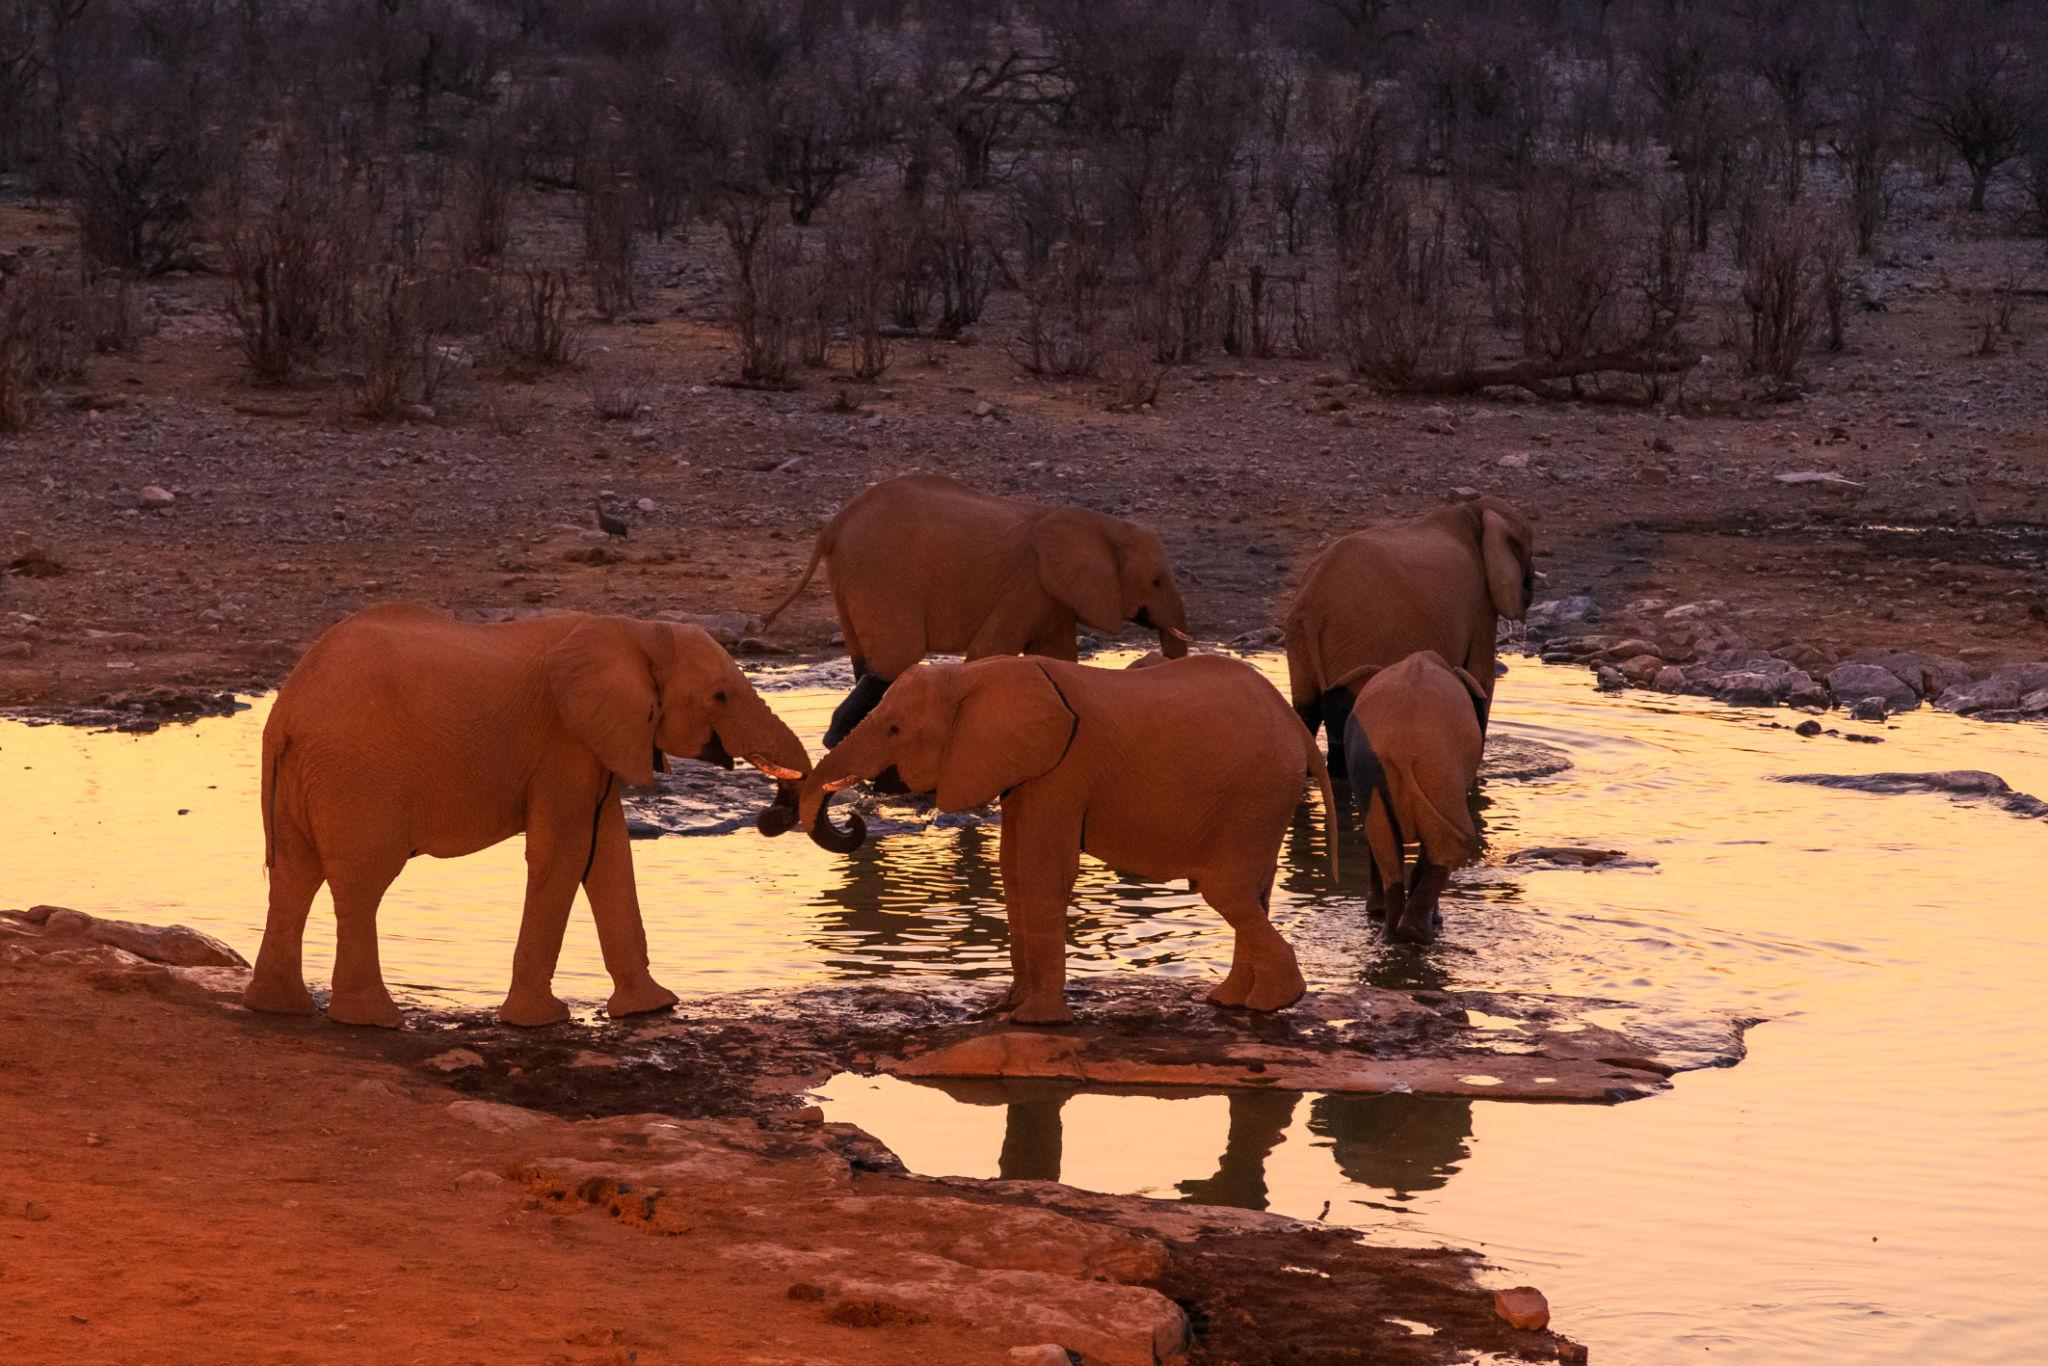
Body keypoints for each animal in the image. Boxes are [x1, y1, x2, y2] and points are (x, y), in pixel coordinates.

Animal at [244, 604, 863, 1030]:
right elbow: (566, 854)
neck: (631, 630)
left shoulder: (599, 743)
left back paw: (279, 1009)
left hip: (303, 777)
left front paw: (653, 1009)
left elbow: (608, 855)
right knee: (360, 885)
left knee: (295, 878)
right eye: (720, 697)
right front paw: (541, 1022)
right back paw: (374, 1020)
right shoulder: (566, 742)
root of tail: (287, 712)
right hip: (356, 773)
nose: (771, 815)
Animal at [761, 473, 1194, 748]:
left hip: (850, 576)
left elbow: (1058, 661)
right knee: (894, 661)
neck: (1102, 525)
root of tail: (835, 524)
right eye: (1156, 581)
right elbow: (988, 653)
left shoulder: (1052, 597)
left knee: (868, 664)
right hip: (883, 572)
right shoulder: (1028, 585)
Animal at [797, 654, 1337, 1023]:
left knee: (1226, 891)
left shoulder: (1061, 769)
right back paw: (1233, 1002)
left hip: (1258, 792)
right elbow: (1013, 869)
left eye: (894, 728)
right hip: (1262, 799)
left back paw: (1272, 1003)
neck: (973, 675)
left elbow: (1040, 871)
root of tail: (1297, 727)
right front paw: (1003, 1008)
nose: (855, 820)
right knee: (1252, 891)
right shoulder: (1027, 770)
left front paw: (1033, 1022)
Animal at [1284, 494, 1533, 779]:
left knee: (1309, 710)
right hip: (1355, 638)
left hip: (1300, 640)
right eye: (1527, 547)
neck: (1475, 509)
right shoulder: (1481, 605)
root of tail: (1312, 606)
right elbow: (1481, 678)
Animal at [1339, 651, 1487, 945]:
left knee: (1382, 838)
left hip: (1376, 770)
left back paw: (1389, 933)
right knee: (1451, 841)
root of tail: (1404, 750)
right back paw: (1418, 932)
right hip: (1442, 772)